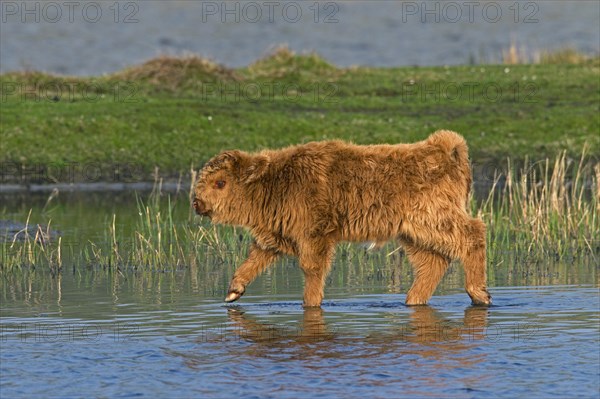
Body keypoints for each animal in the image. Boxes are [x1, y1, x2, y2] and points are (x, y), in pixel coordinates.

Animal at [195, 130, 490, 308]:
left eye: (220, 182)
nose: (198, 203)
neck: (275, 183)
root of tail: (442, 148)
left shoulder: (314, 235)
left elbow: (312, 269)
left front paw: (310, 303)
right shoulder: (276, 236)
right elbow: (252, 260)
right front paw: (233, 292)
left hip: (432, 217)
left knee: (473, 233)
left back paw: (479, 295)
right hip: (412, 232)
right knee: (433, 262)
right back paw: (413, 299)